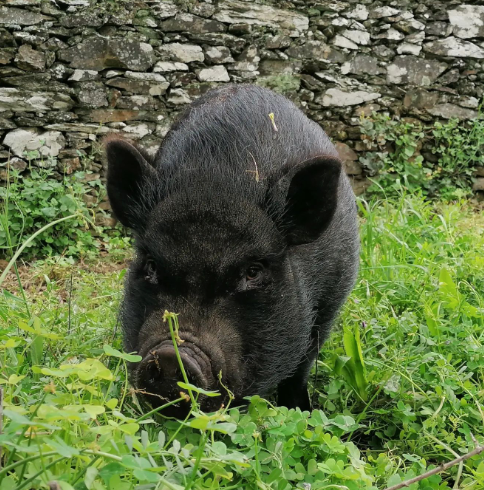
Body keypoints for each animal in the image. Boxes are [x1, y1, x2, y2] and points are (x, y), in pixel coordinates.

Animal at [106, 85, 360, 418]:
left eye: (252, 272)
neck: (217, 183)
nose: (173, 355)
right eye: (151, 266)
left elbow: (298, 371)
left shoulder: (328, 306)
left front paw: (300, 412)